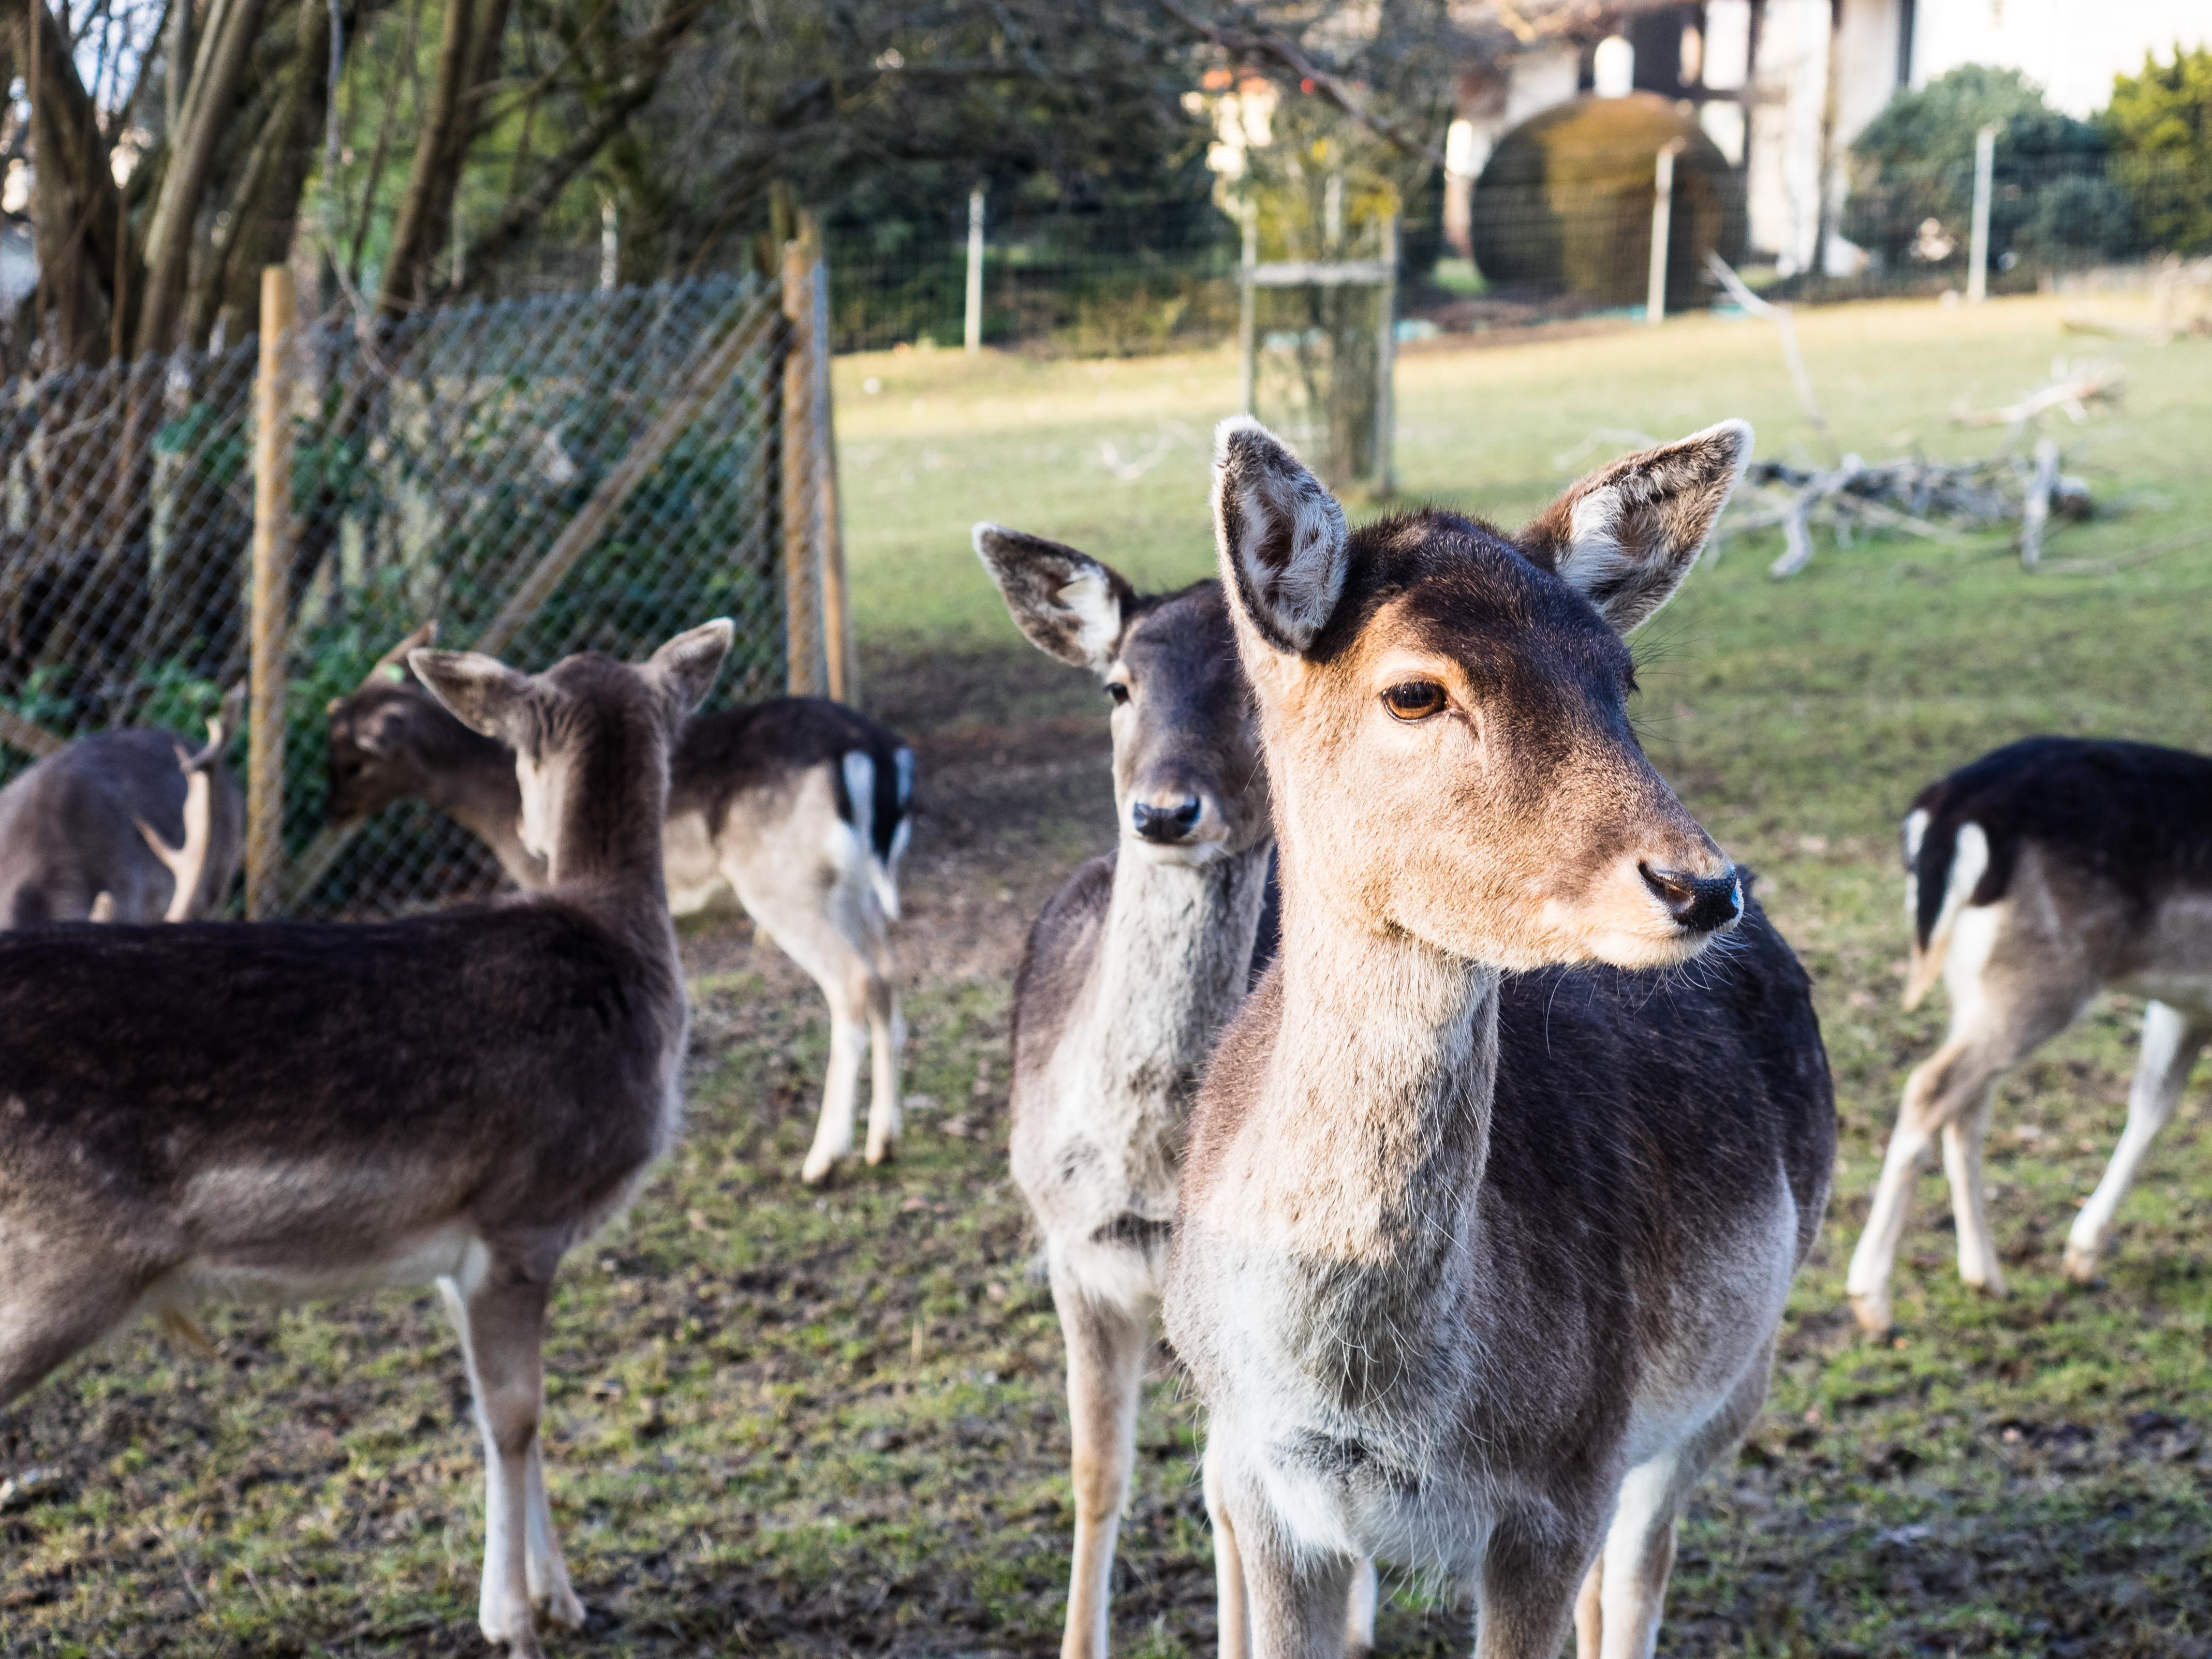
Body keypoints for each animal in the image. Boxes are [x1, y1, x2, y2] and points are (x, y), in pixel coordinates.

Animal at [323, 624, 916, 1186]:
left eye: (352, 761)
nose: (332, 812)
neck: (488, 811)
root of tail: (878, 752)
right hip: (849, 887)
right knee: (887, 971)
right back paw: (882, 1142)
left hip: (782, 881)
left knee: (854, 981)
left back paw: (823, 1159)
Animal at [1159, 418, 1831, 1659]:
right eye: (1414, 691)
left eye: (1619, 678)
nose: (1701, 884)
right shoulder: (1264, 1487)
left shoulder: (1563, 1480)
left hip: (1730, 1378)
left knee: (1636, 1574)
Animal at [1840, 738, 2212, 1336]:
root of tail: (1953, 806)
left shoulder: (2185, 1004)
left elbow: (2152, 1107)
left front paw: (2082, 1255)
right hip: (2045, 975)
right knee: (1930, 1085)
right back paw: (1872, 1298)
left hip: (1975, 982)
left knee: (1967, 1108)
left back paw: (1984, 1275)